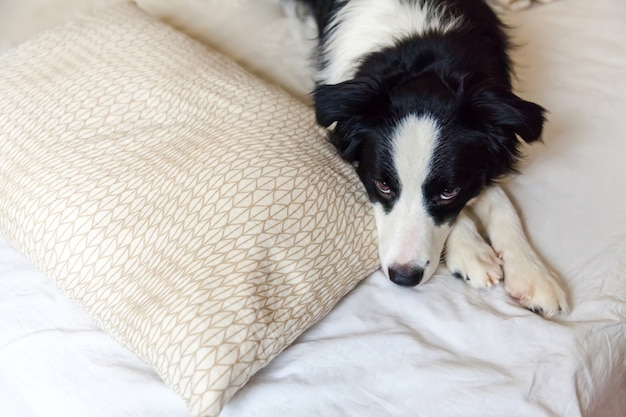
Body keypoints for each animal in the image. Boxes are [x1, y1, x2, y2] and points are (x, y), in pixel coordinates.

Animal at [290, 0, 568, 316]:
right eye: (383, 185)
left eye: (448, 192)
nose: (404, 277)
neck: (424, 51)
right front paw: (472, 251)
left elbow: (499, 201)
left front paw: (533, 272)